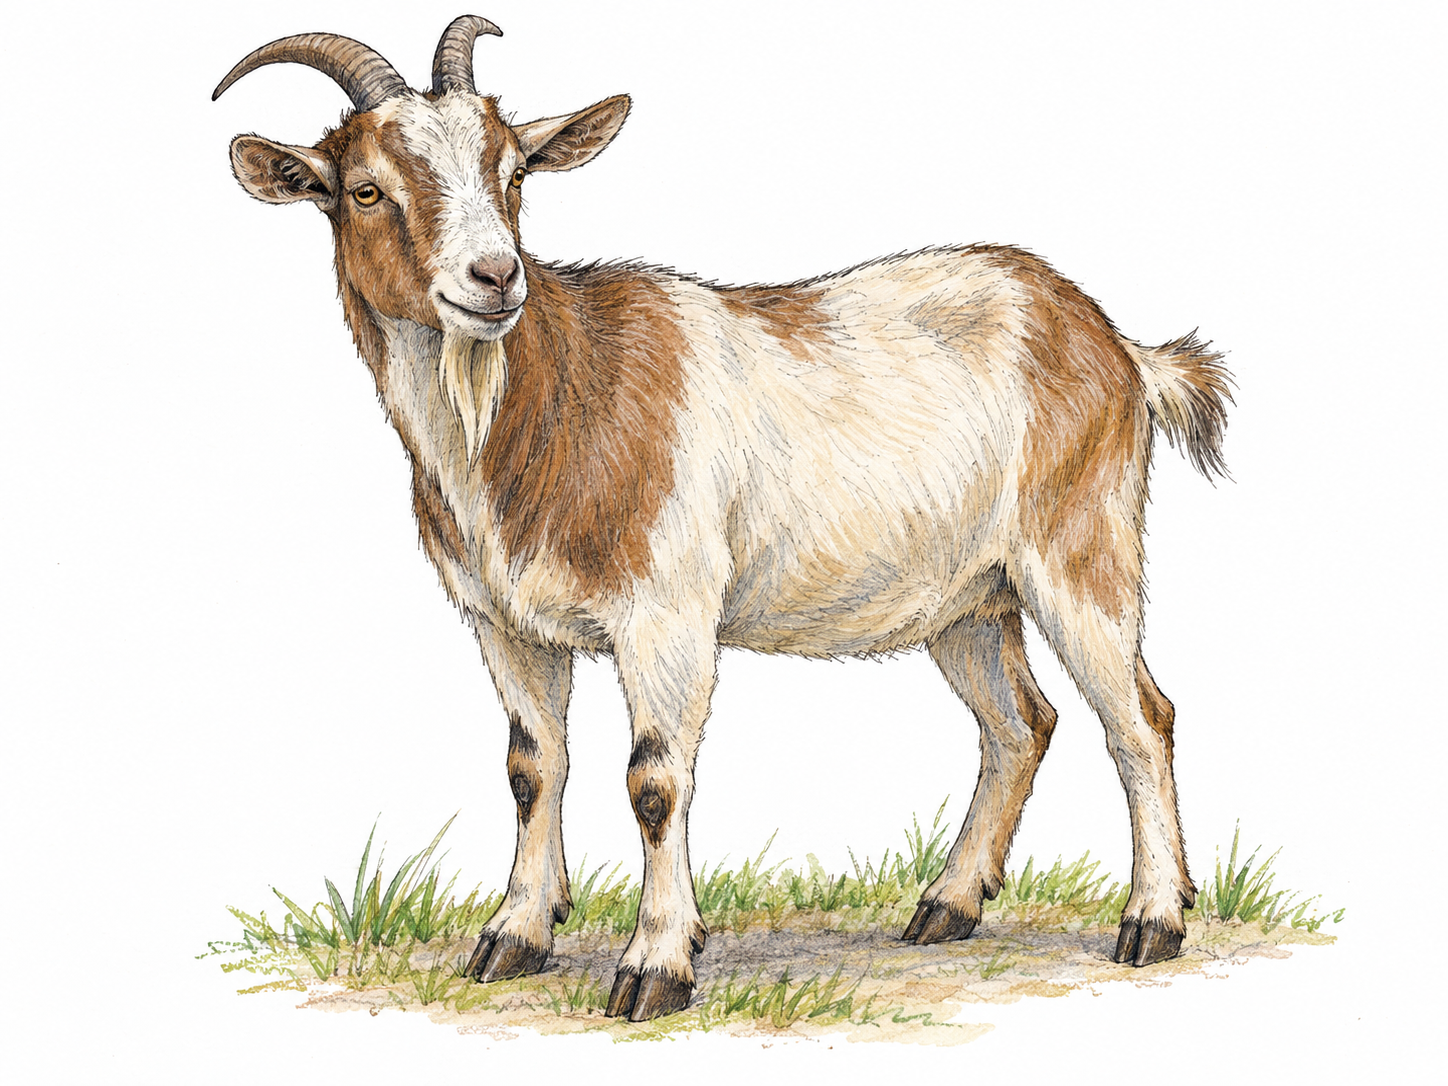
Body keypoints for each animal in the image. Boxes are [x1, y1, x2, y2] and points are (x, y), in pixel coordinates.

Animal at [215, 15, 1231, 1021]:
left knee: (1140, 718)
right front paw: (514, 938)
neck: (557, 395)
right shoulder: (505, 623)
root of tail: (1117, 347)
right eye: (366, 188)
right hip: (969, 597)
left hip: (1079, 550)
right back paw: (948, 906)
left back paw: (1152, 922)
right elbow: (532, 768)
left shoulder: (666, 615)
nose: (494, 277)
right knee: (1020, 723)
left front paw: (655, 967)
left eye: (513, 174)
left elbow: (655, 780)